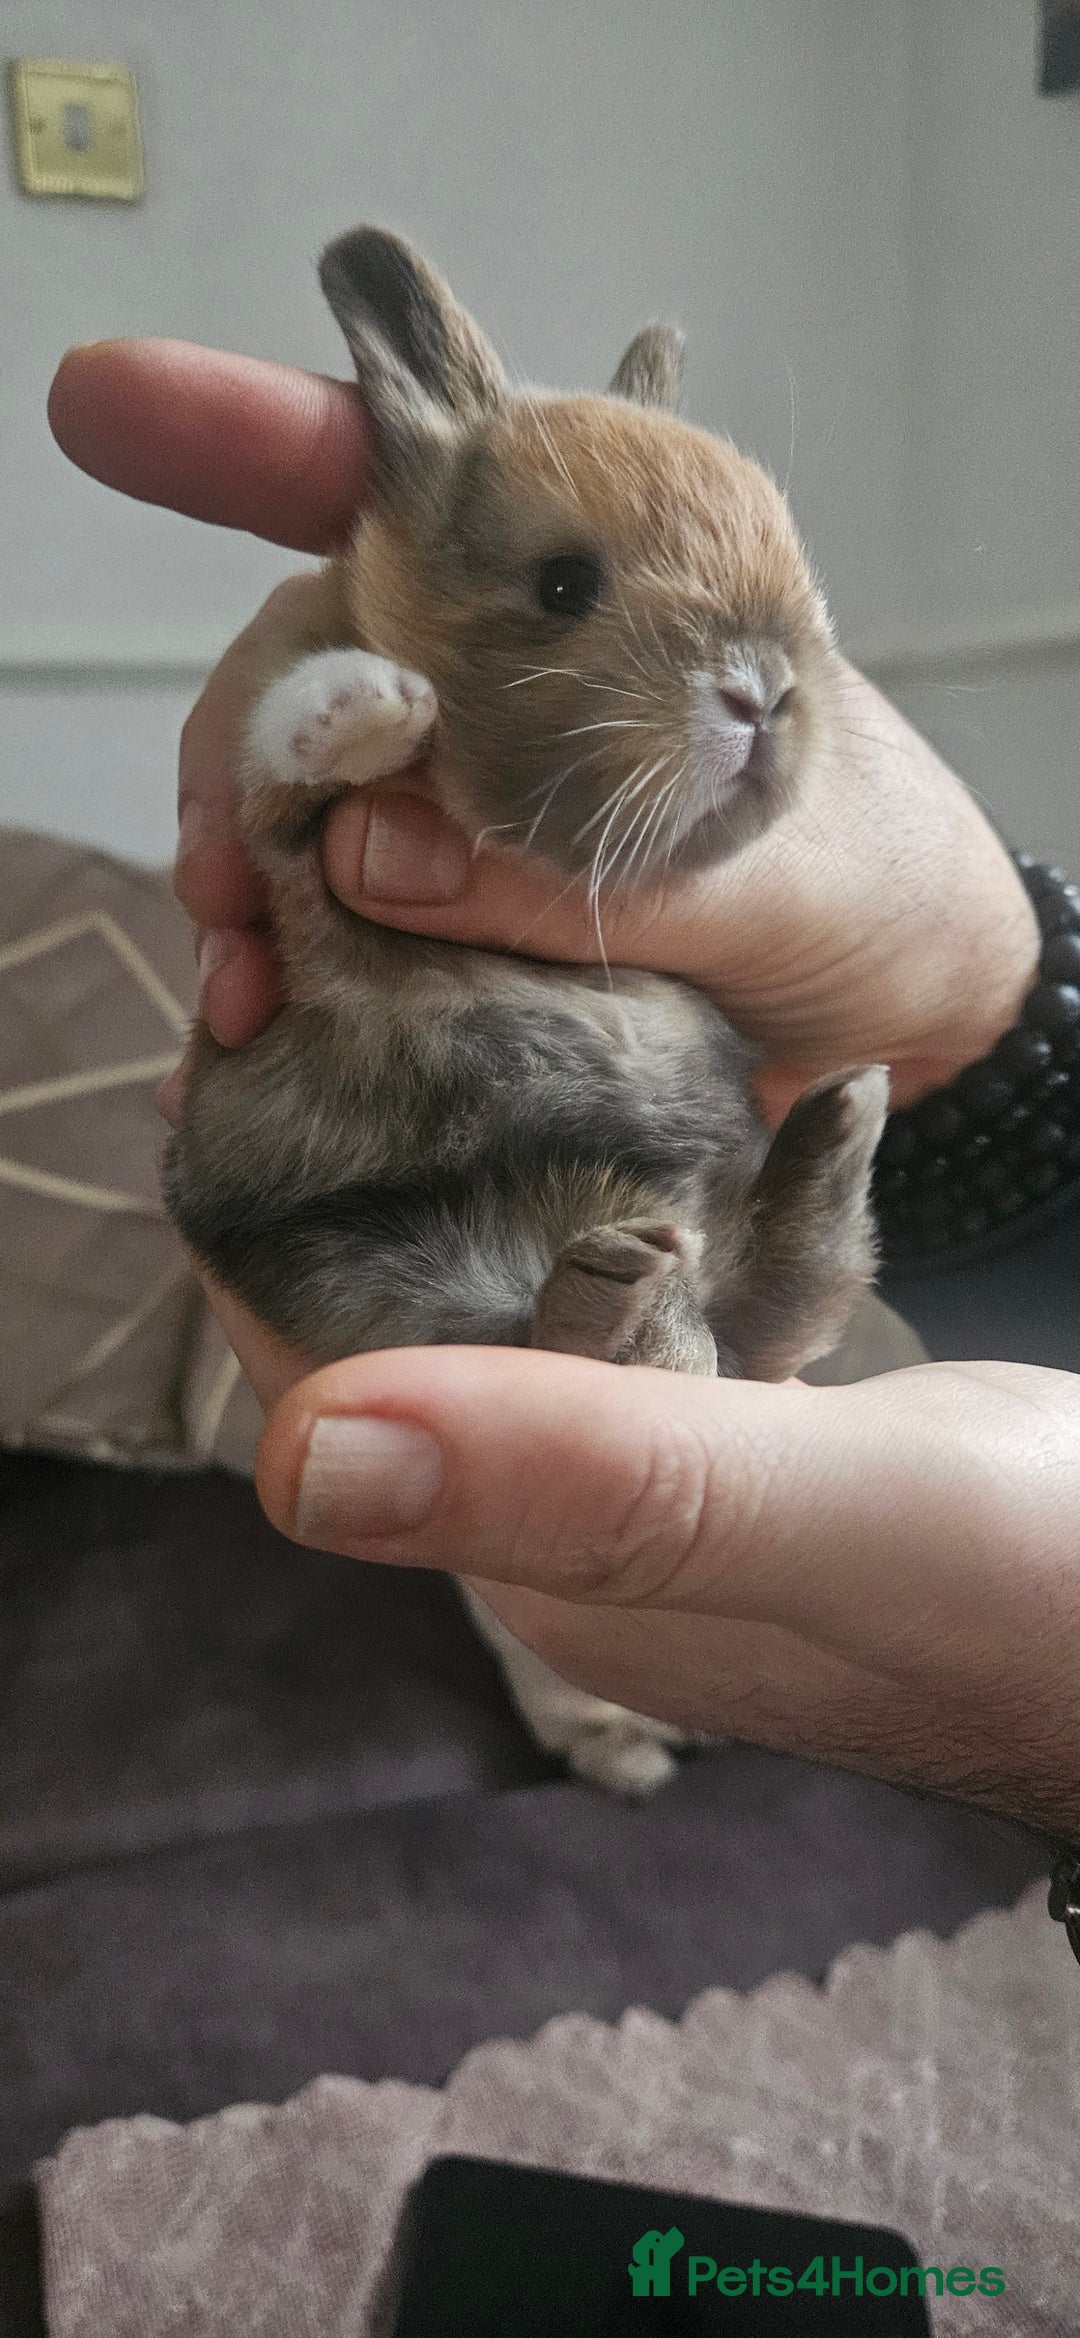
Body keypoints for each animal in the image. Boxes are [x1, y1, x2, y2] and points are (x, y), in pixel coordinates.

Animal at [165, 226, 889, 1795]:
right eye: (564, 586)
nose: (763, 689)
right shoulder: (281, 877)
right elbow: (280, 762)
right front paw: (378, 704)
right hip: (394, 1277)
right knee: (598, 1344)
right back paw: (629, 1293)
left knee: (768, 1303)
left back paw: (830, 1136)